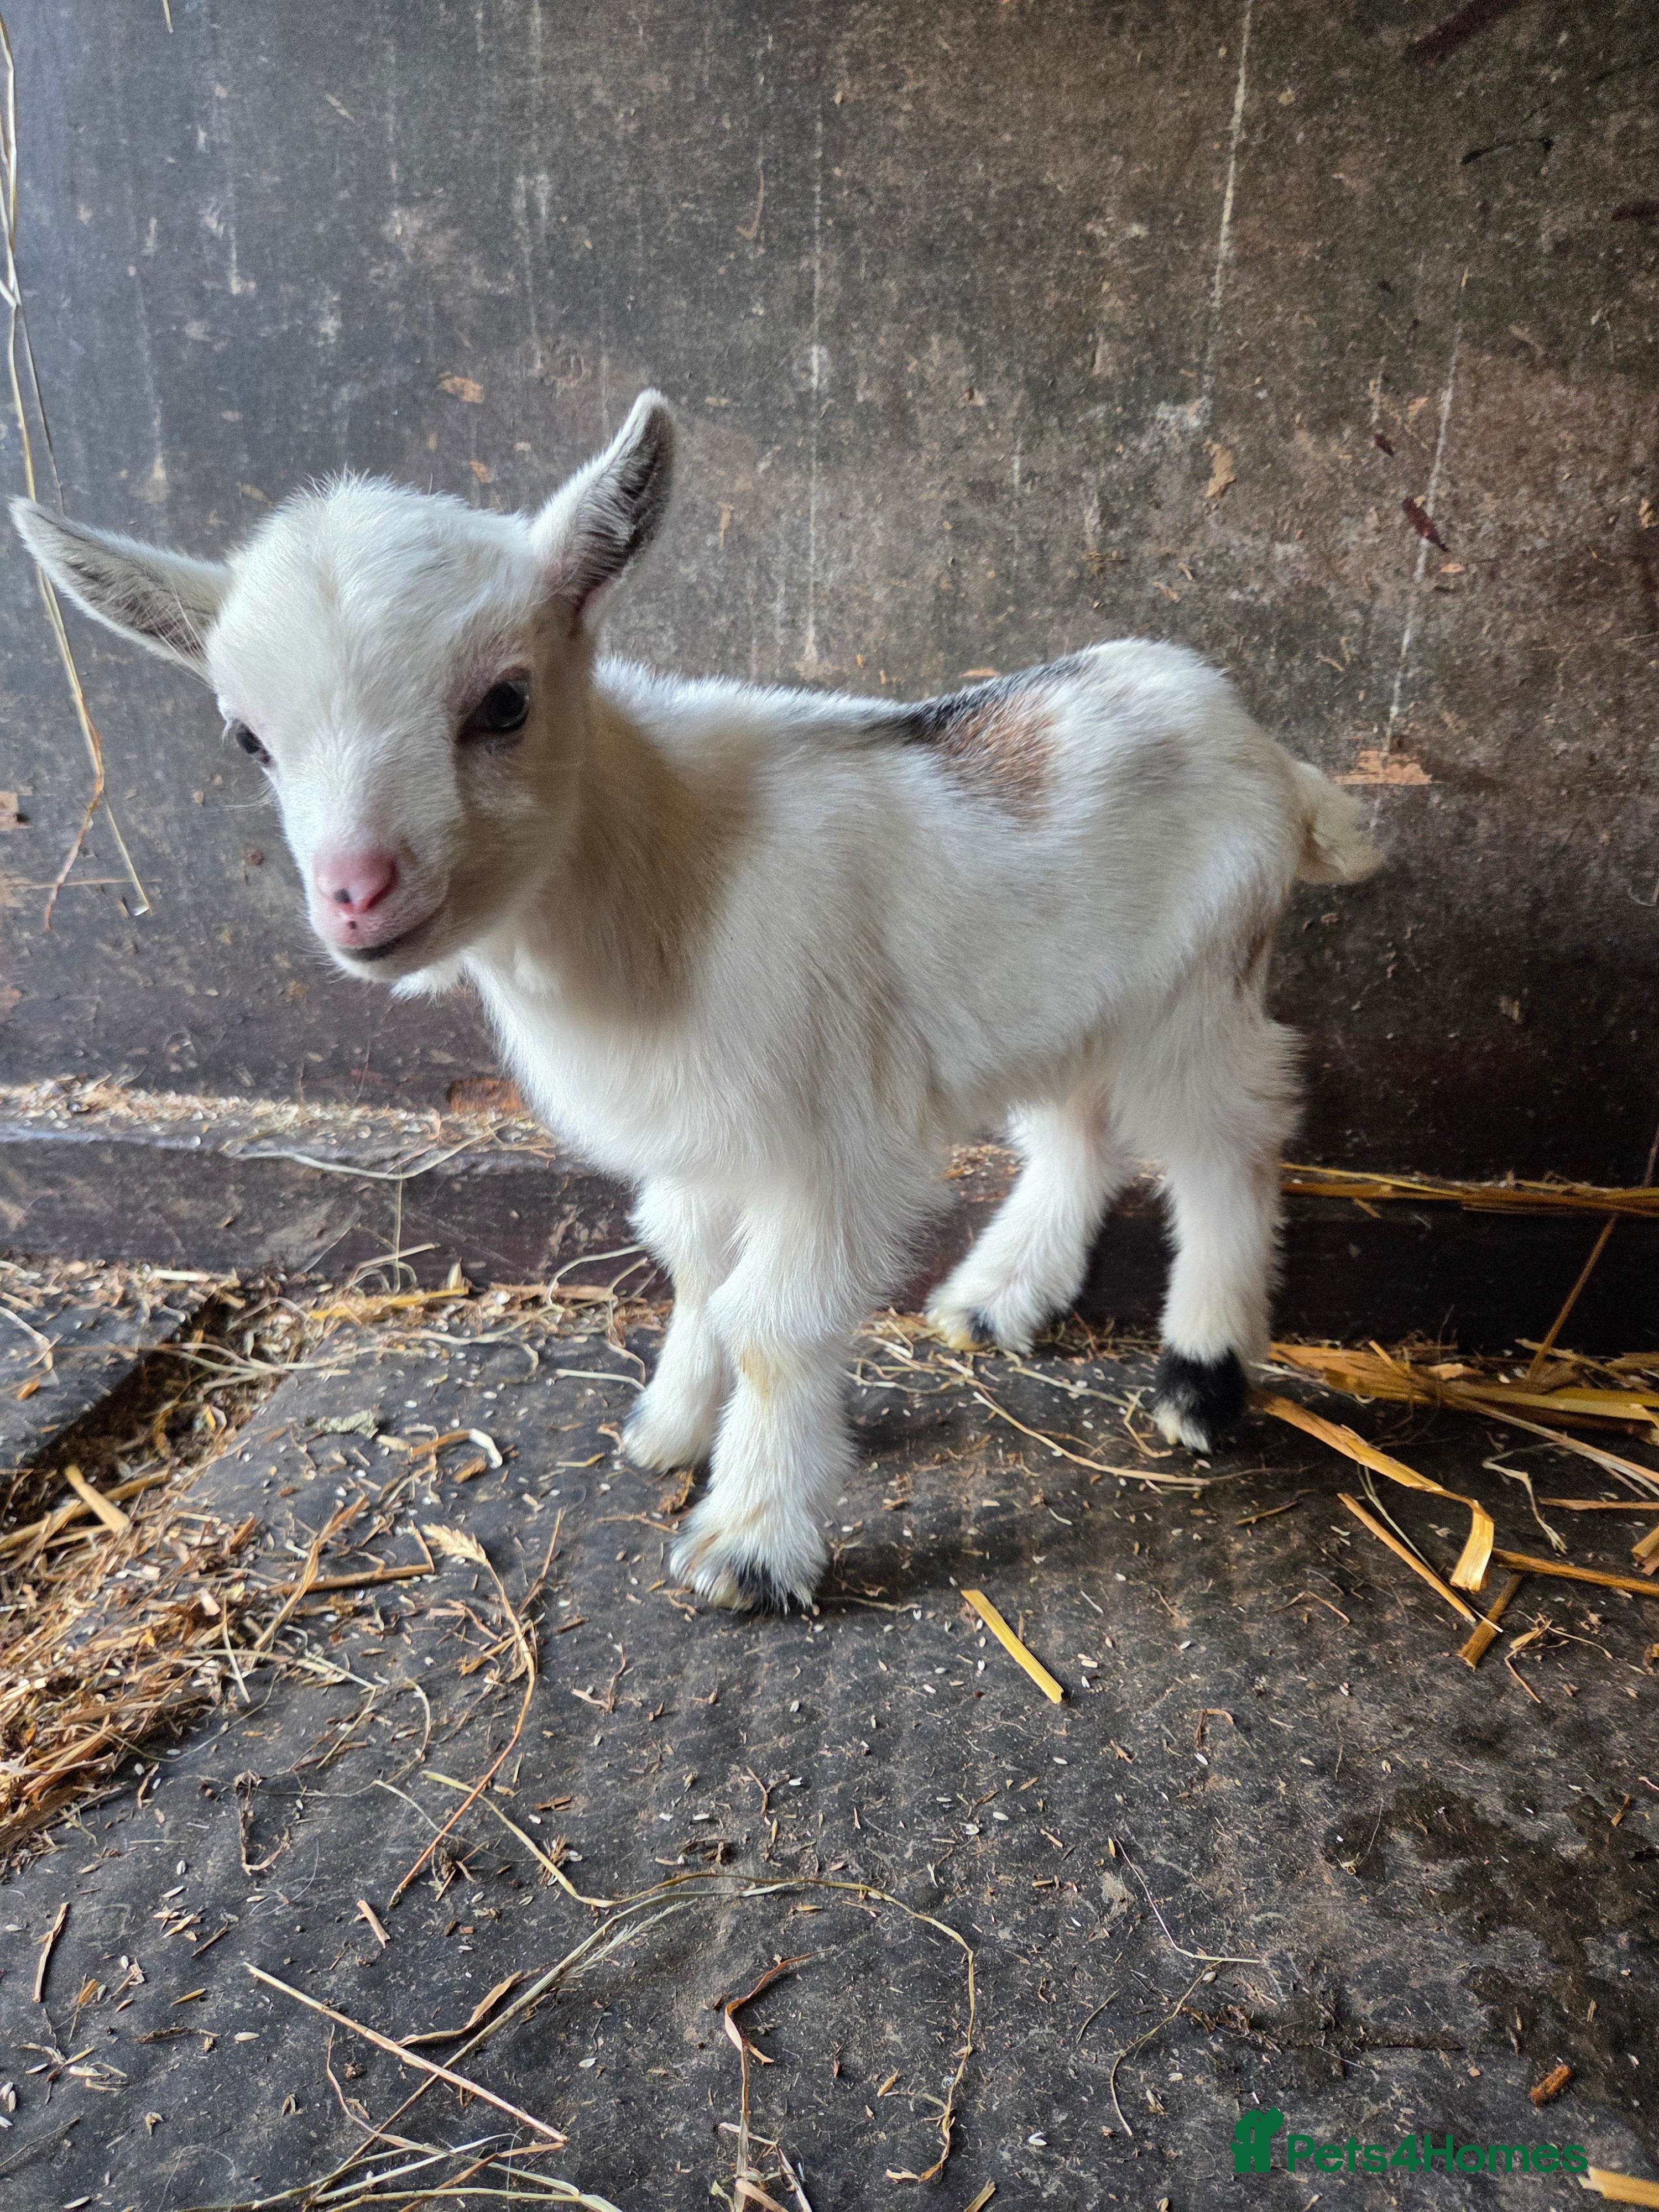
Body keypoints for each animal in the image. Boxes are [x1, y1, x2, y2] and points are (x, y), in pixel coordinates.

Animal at [13, 392, 1382, 1612]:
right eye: (247, 738)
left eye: (504, 701)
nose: (357, 892)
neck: (660, 870)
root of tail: (1268, 749)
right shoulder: (704, 1133)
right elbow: (687, 1265)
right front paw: (670, 1425)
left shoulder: (826, 1138)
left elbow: (773, 1319)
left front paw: (752, 1542)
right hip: (1060, 999)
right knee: (1078, 1132)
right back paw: (997, 1299)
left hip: (1199, 987)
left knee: (1225, 1150)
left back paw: (1201, 1378)